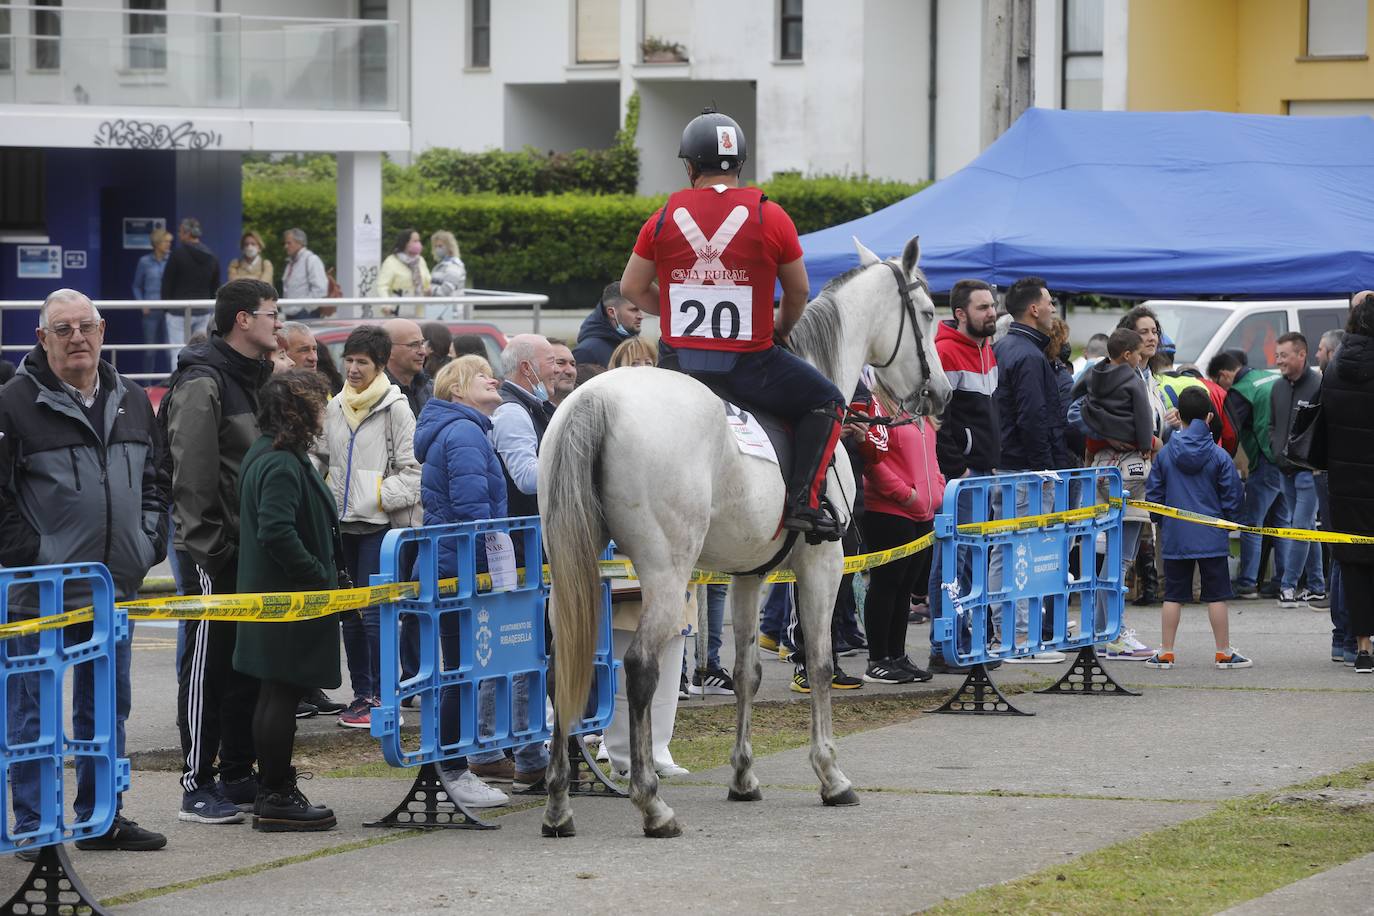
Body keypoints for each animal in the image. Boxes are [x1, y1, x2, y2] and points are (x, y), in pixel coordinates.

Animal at [541, 236, 950, 840]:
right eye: (925, 313)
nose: (940, 394)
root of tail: (598, 400)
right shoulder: (822, 564)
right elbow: (819, 662)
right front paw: (831, 775)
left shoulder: (749, 573)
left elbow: (746, 673)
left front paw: (743, 777)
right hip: (666, 573)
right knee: (639, 667)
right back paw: (652, 803)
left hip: (573, 566)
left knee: (557, 670)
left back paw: (558, 805)